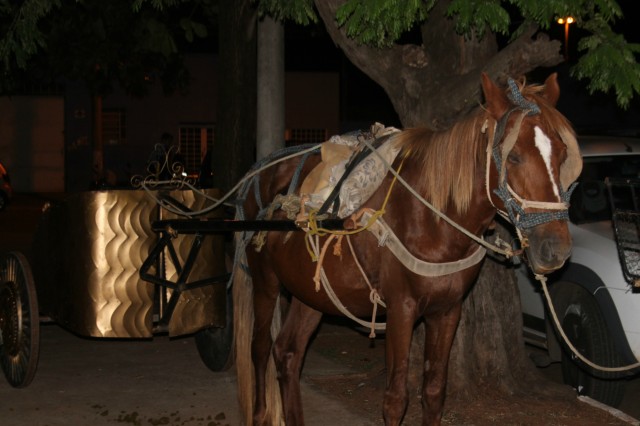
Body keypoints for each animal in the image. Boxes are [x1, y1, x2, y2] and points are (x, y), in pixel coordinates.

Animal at [234, 74, 580, 426]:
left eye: (562, 154)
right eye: (513, 156)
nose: (555, 248)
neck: (429, 218)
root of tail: (258, 174)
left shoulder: (447, 311)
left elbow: (434, 393)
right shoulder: (401, 309)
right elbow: (395, 399)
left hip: (311, 290)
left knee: (287, 353)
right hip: (265, 283)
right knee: (260, 349)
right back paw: (260, 411)